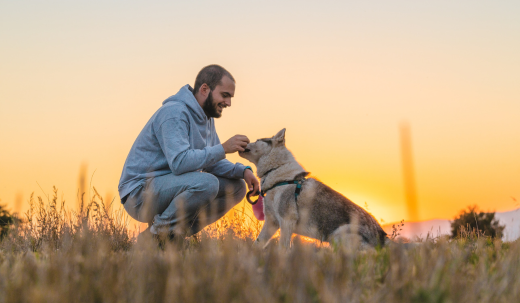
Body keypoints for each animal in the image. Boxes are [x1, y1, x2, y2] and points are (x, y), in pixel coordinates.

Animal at [239, 128, 386, 249]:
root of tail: (383, 237)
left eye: (257, 140)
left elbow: (283, 249)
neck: (276, 171)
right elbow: (257, 244)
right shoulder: (271, 222)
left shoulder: (286, 222)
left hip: (337, 237)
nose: (245, 139)